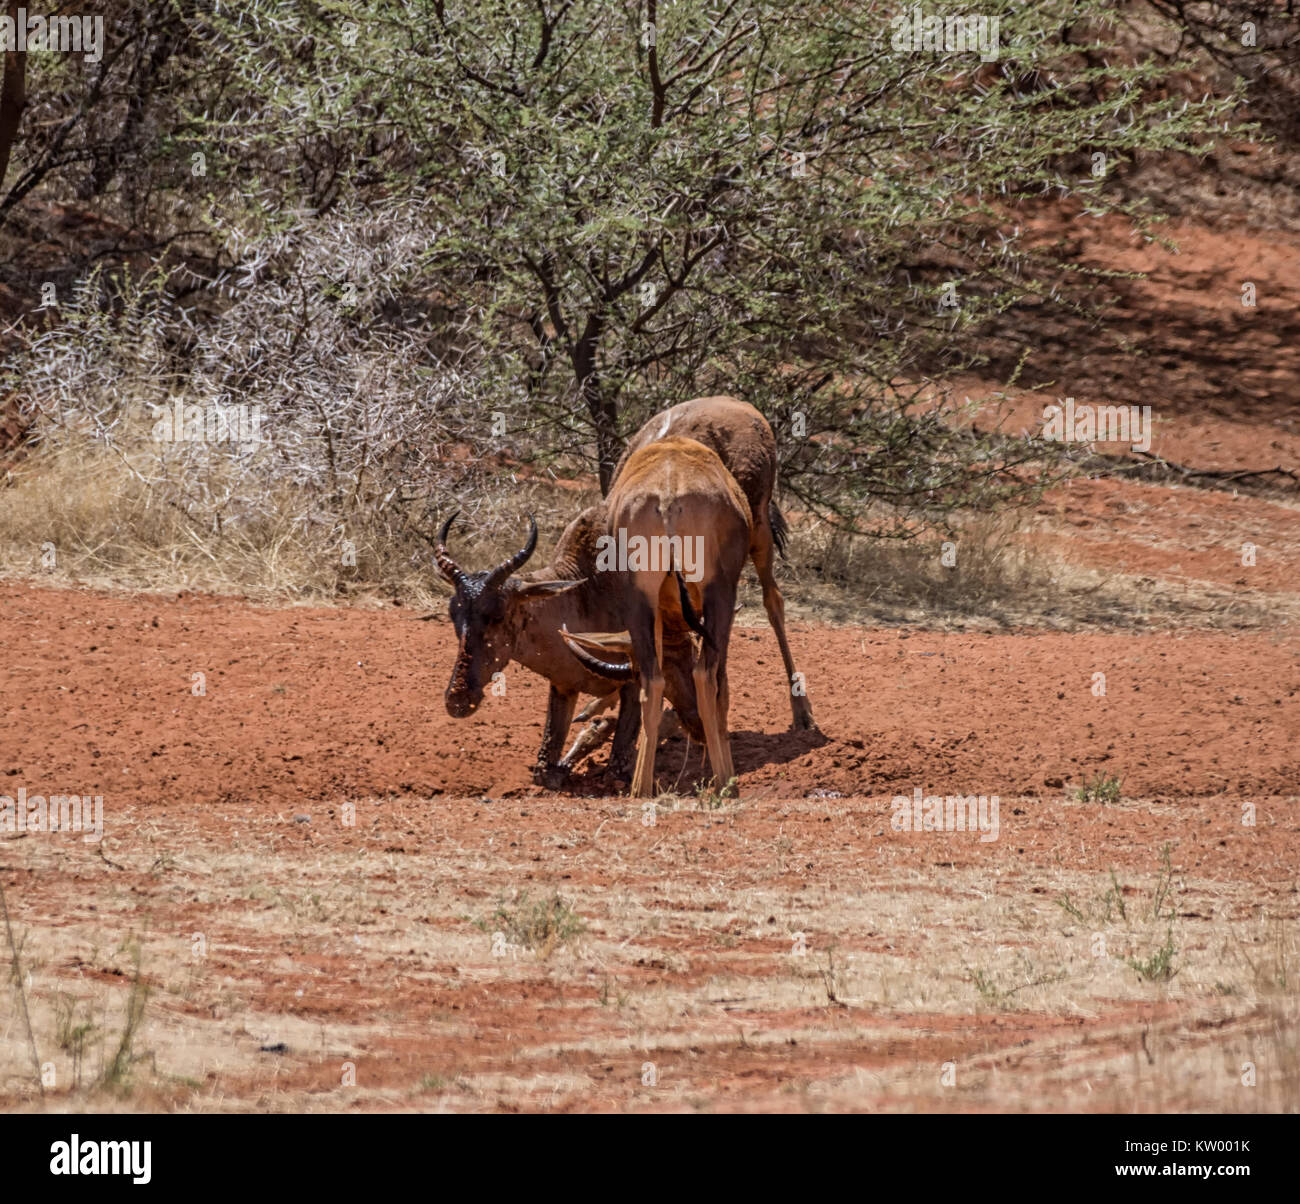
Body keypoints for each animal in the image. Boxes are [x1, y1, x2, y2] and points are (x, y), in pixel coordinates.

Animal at [564, 439, 748, 800]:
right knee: (707, 676)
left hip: (639, 596)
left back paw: (640, 789)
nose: (695, 728)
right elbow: (722, 686)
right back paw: (723, 785)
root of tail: (667, 496)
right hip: (718, 592)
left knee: (653, 681)